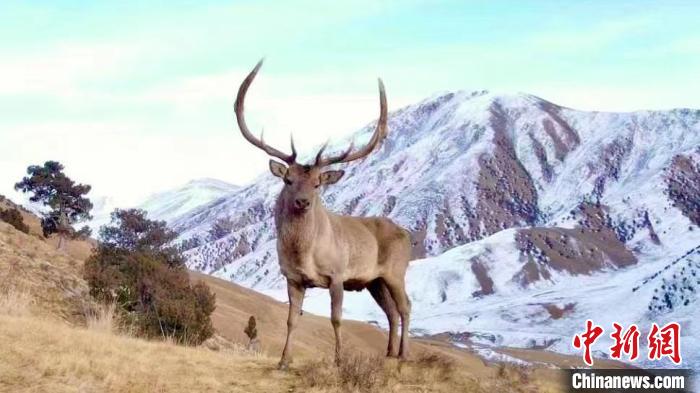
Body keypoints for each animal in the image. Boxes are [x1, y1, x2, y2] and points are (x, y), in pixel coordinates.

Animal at [232, 59, 412, 368]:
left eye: (317, 183)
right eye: (288, 180)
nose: (303, 202)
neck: (305, 255)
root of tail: (409, 235)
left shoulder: (337, 275)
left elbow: (336, 319)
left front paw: (339, 360)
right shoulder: (292, 278)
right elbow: (291, 320)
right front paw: (283, 360)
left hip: (396, 271)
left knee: (405, 307)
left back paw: (402, 354)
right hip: (374, 281)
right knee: (390, 311)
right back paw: (389, 353)